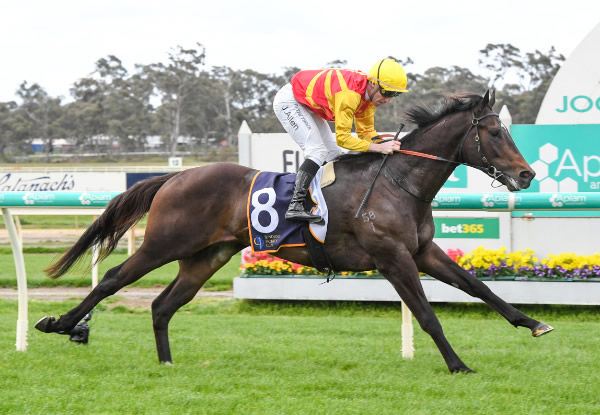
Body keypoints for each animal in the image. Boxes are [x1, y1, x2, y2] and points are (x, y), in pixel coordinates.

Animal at [36, 90, 552, 374]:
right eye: (497, 134)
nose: (526, 175)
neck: (398, 181)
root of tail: (176, 176)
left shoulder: (423, 251)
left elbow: (480, 287)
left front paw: (532, 323)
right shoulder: (393, 258)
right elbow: (427, 315)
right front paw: (458, 364)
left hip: (206, 257)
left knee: (163, 305)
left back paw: (166, 363)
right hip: (165, 243)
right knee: (112, 279)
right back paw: (61, 324)